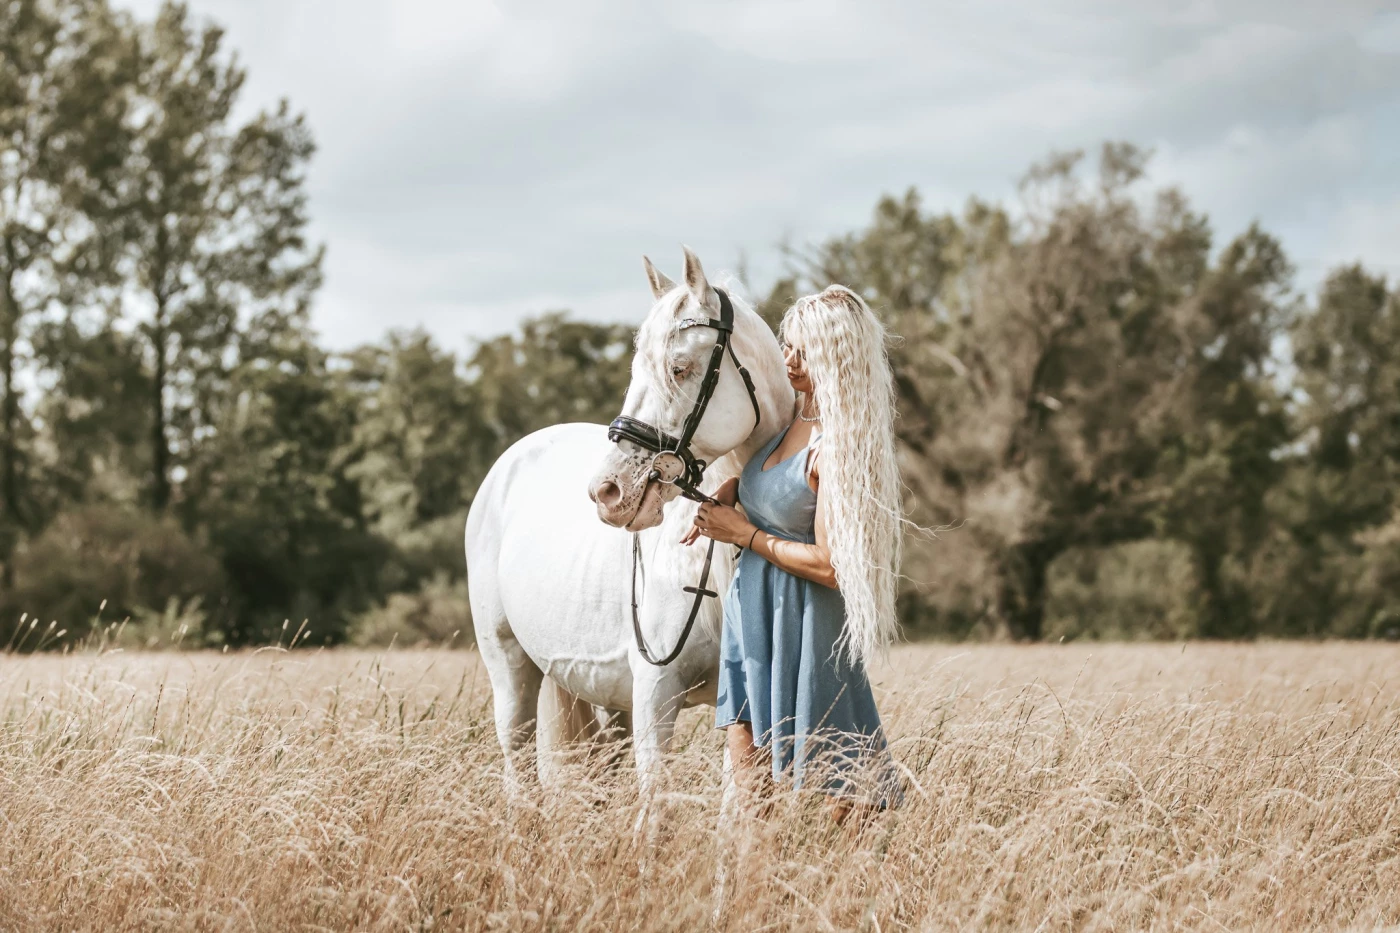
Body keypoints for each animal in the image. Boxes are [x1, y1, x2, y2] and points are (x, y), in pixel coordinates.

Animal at [467, 249, 789, 790]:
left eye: (679, 367)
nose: (606, 492)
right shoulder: (655, 692)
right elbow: (655, 795)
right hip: (511, 672)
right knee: (519, 764)